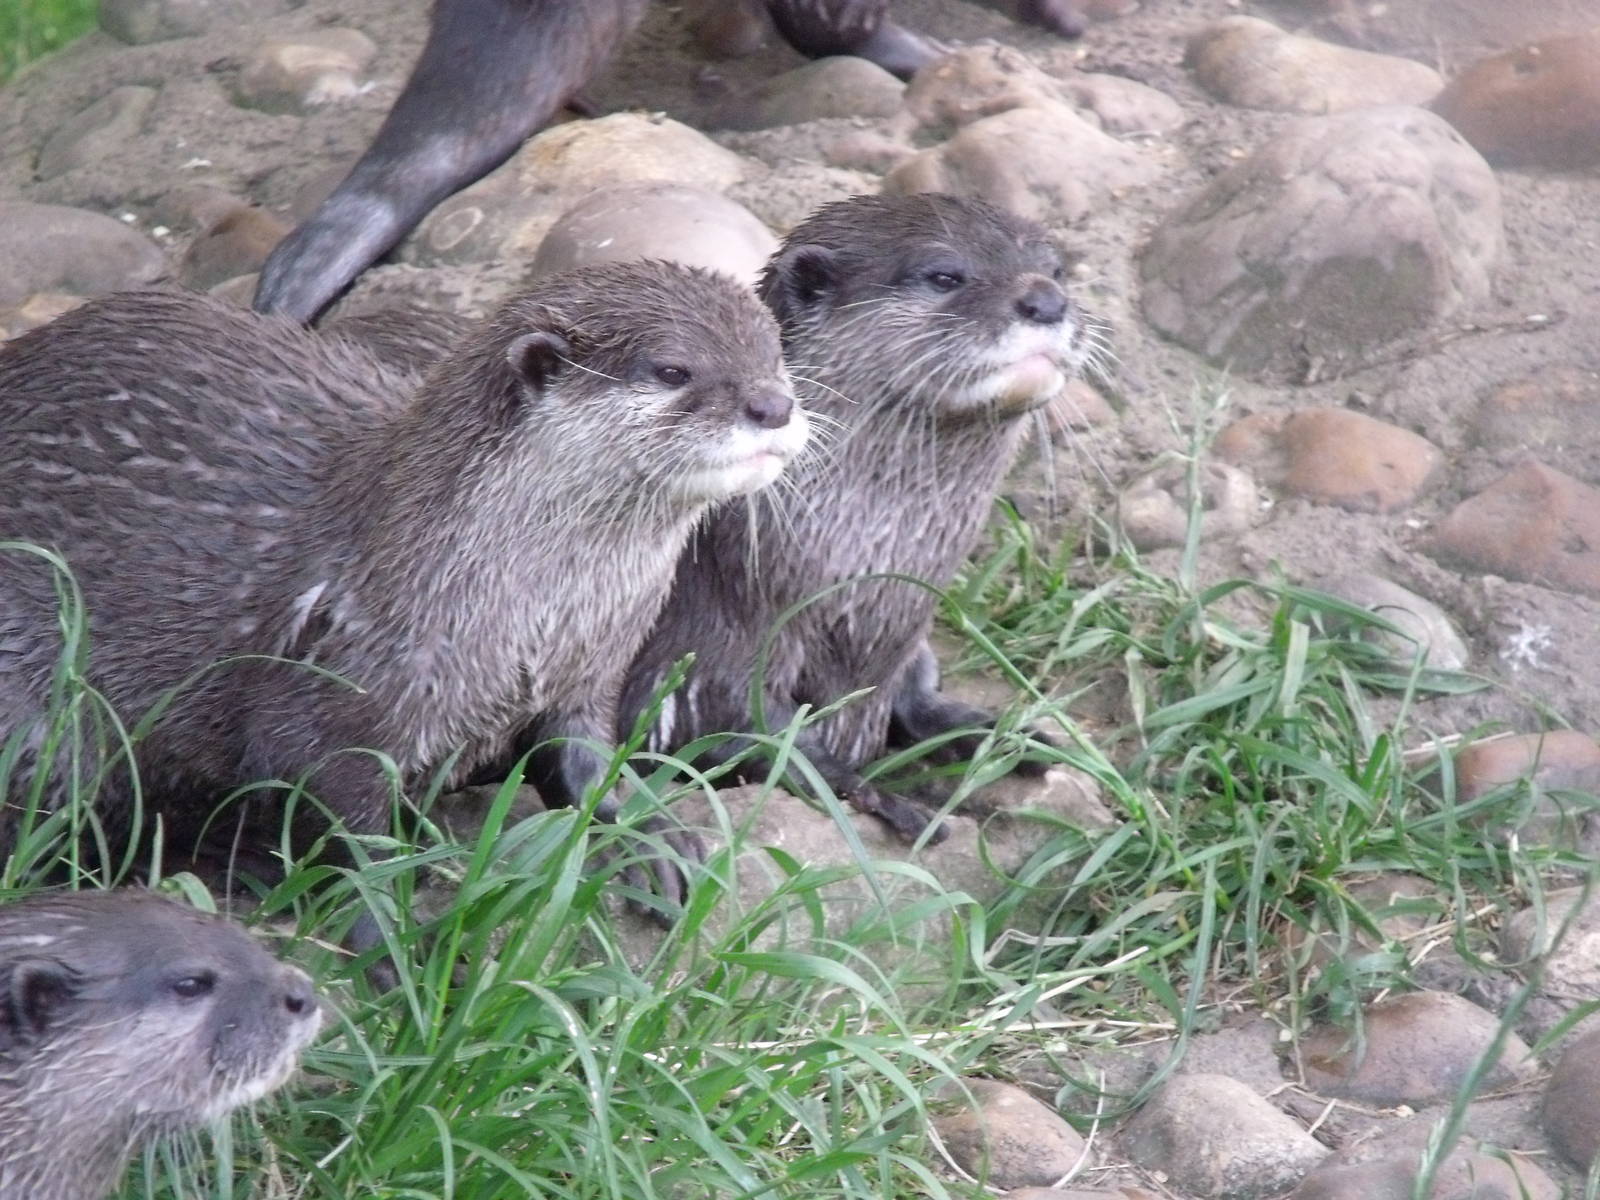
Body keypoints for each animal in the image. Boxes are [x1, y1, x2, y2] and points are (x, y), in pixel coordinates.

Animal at [0, 262, 807, 902]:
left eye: (775, 355)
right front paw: (384, 934)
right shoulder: (329, 703)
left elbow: (581, 760)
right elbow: (348, 830)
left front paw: (650, 836)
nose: (773, 404)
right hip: (40, 710)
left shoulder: (586, 672)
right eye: (672, 370)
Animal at [620, 193, 1087, 839]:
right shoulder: (701, 654)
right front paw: (870, 791)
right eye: (944, 275)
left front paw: (993, 732)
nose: (1047, 300)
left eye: (1057, 270)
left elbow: (915, 699)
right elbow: (746, 738)